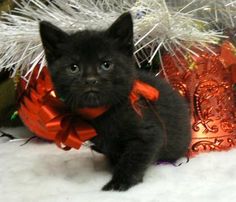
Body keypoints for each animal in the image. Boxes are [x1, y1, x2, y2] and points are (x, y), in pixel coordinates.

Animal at [39, 12, 191, 191]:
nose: (90, 80)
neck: (103, 112)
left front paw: (119, 182)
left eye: (106, 64)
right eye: (73, 67)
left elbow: (133, 159)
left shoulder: (148, 135)